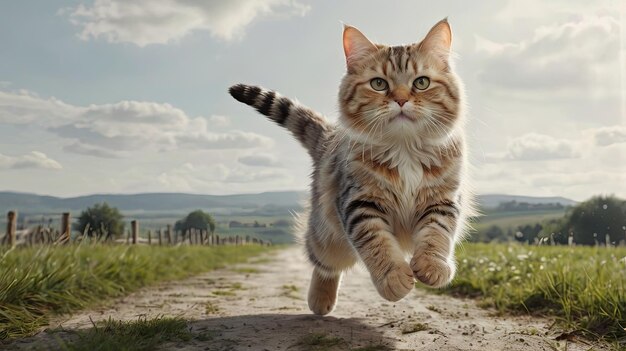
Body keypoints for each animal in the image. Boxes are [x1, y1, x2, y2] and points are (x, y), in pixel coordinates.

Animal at [227, 18, 470, 316]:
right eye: (378, 83)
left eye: (421, 83)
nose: (401, 100)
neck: (404, 149)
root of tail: (330, 135)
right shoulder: (359, 202)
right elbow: (377, 243)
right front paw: (393, 279)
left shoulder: (443, 200)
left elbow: (437, 235)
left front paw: (432, 266)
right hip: (326, 236)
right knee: (325, 265)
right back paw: (320, 301)